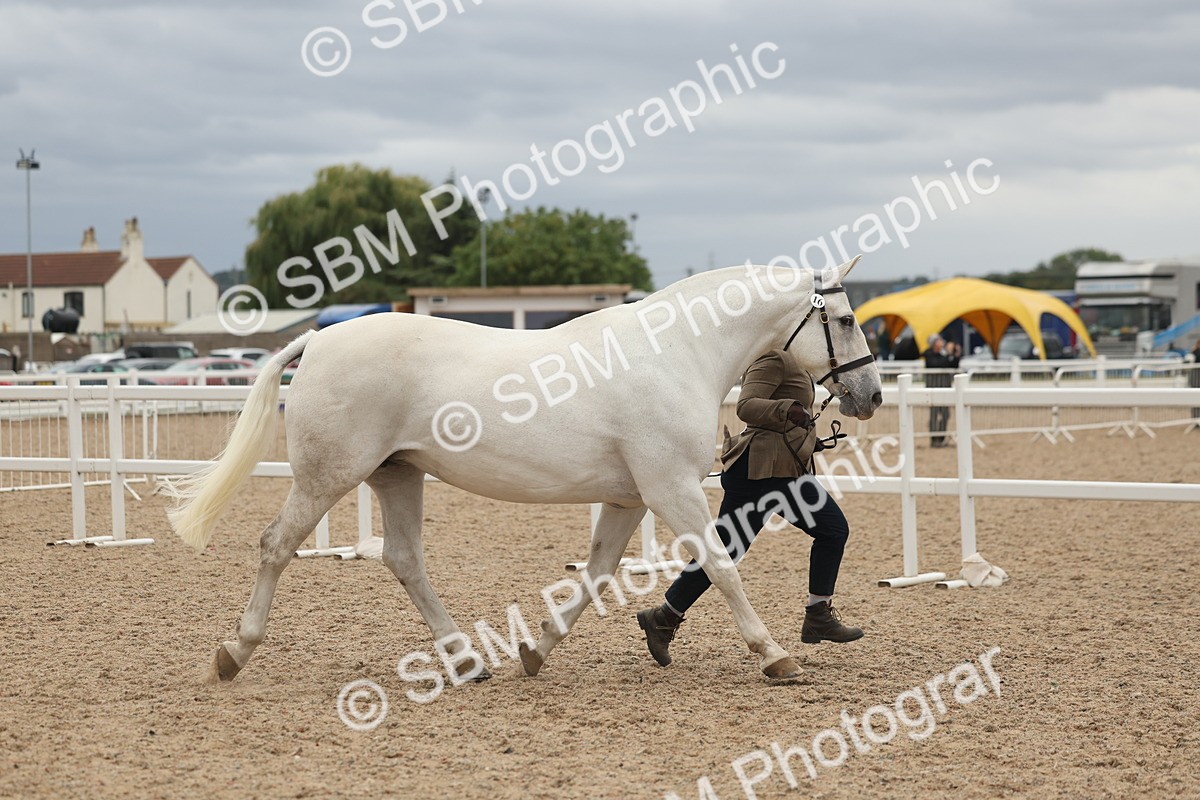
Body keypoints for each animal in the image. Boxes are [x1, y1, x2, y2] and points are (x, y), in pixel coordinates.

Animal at [165, 256, 882, 684]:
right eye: (848, 319)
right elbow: (722, 568)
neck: (675, 353)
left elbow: (596, 575)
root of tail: (317, 340)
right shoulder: (671, 488)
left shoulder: (630, 499)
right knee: (277, 545)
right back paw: (233, 653)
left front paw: (536, 651)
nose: (869, 394)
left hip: (397, 474)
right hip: (329, 475)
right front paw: (777, 655)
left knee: (404, 559)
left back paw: (463, 660)